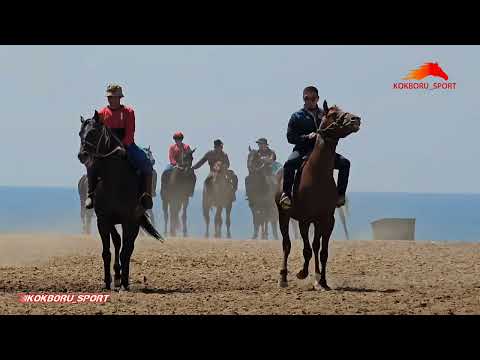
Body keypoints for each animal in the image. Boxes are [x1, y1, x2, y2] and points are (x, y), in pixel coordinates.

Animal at [78, 111, 162, 292]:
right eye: (80, 133)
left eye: (93, 132)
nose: (82, 155)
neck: (114, 180)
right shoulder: (103, 220)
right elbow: (108, 251)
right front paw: (108, 282)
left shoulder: (129, 220)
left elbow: (125, 251)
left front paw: (123, 283)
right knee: (117, 243)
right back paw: (117, 277)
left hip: (134, 222)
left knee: (128, 248)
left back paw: (123, 279)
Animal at [274, 100, 360, 290]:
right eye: (333, 114)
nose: (356, 119)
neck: (317, 174)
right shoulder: (305, 220)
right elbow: (307, 249)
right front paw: (303, 273)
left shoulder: (327, 220)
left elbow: (322, 251)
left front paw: (322, 281)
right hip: (284, 215)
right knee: (286, 244)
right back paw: (283, 278)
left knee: (313, 246)